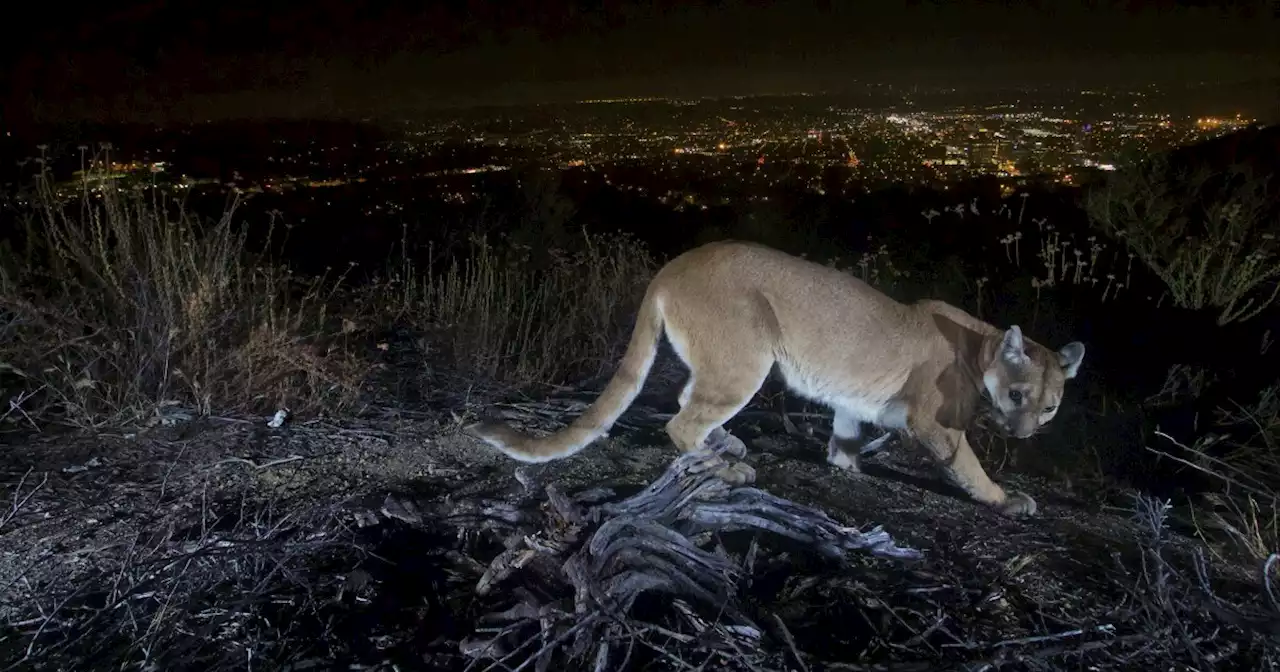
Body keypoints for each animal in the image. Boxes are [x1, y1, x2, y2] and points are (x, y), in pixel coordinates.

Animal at [465, 238, 1085, 517]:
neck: (981, 346)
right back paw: (727, 466)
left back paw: (728, 444)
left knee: (689, 399)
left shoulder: (851, 397)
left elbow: (845, 432)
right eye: (1018, 394)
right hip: (748, 357)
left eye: (1050, 406)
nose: (1025, 433)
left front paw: (846, 465)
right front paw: (1005, 499)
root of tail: (671, 266)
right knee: (681, 422)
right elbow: (967, 464)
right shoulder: (936, 423)